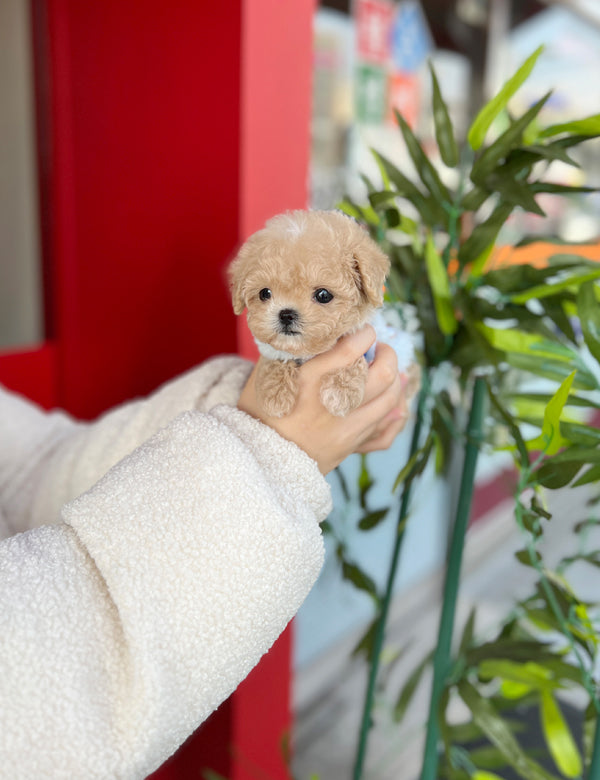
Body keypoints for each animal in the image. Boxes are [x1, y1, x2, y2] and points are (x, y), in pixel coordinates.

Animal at [229, 207, 390, 414]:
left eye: (323, 295)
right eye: (265, 293)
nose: (286, 314)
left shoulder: (368, 349)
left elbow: (355, 359)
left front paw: (341, 390)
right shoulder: (272, 349)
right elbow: (274, 357)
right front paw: (274, 394)